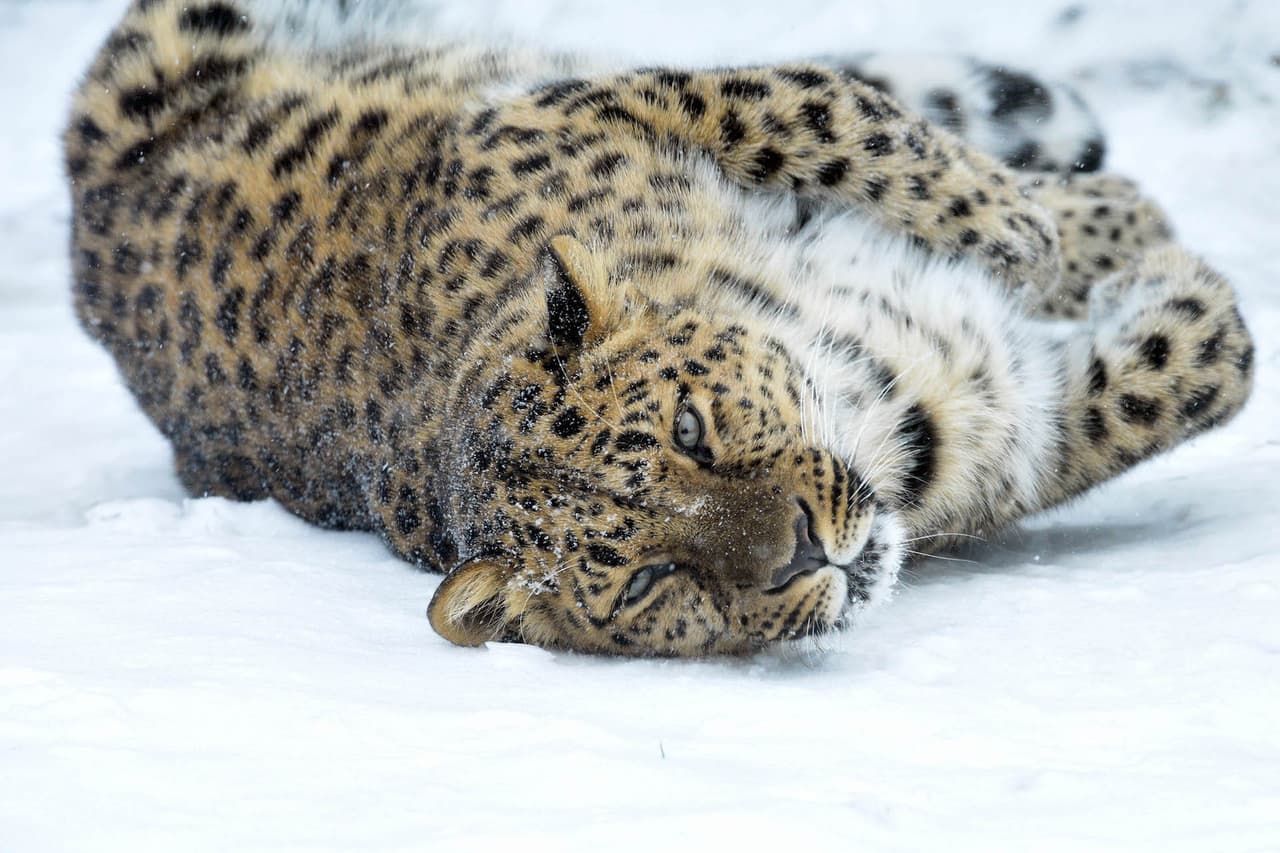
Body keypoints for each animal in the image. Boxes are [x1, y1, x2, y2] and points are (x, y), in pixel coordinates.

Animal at [64, 0, 1254, 656]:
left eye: (691, 430)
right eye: (648, 582)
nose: (808, 555)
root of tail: (85, 224)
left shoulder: (559, 112)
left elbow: (831, 114)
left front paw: (1038, 228)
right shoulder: (1008, 422)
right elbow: (1200, 365)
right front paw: (1153, 262)